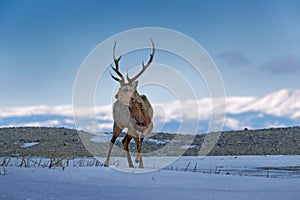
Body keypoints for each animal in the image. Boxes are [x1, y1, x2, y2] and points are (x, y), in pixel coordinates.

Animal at [104, 39, 155, 168]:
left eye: (127, 89)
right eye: (119, 88)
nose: (116, 95)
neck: (142, 116)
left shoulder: (148, 125)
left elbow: (141, 141)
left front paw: (139, 162)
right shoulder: (132, 126)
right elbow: (137, 142)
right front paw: (137, 160)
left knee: (125, 140)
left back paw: (133, 164)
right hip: (118, 123)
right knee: (113, 140)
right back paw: (106, 163)